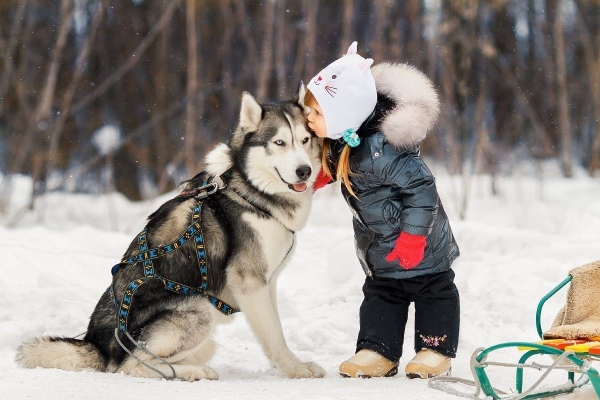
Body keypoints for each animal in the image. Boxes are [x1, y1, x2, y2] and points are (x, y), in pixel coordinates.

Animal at [16, 85, 326, 382]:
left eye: (305, 140)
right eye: (279, 142)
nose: (304, 171)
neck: (251, 189)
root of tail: (99, 346)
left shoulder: (266, 283)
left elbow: (273, 326)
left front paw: (282, 367)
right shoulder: (249, 280)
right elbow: (274, 334)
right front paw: (296, 368)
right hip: (197, 308)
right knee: (131, 366)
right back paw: (193, 373)